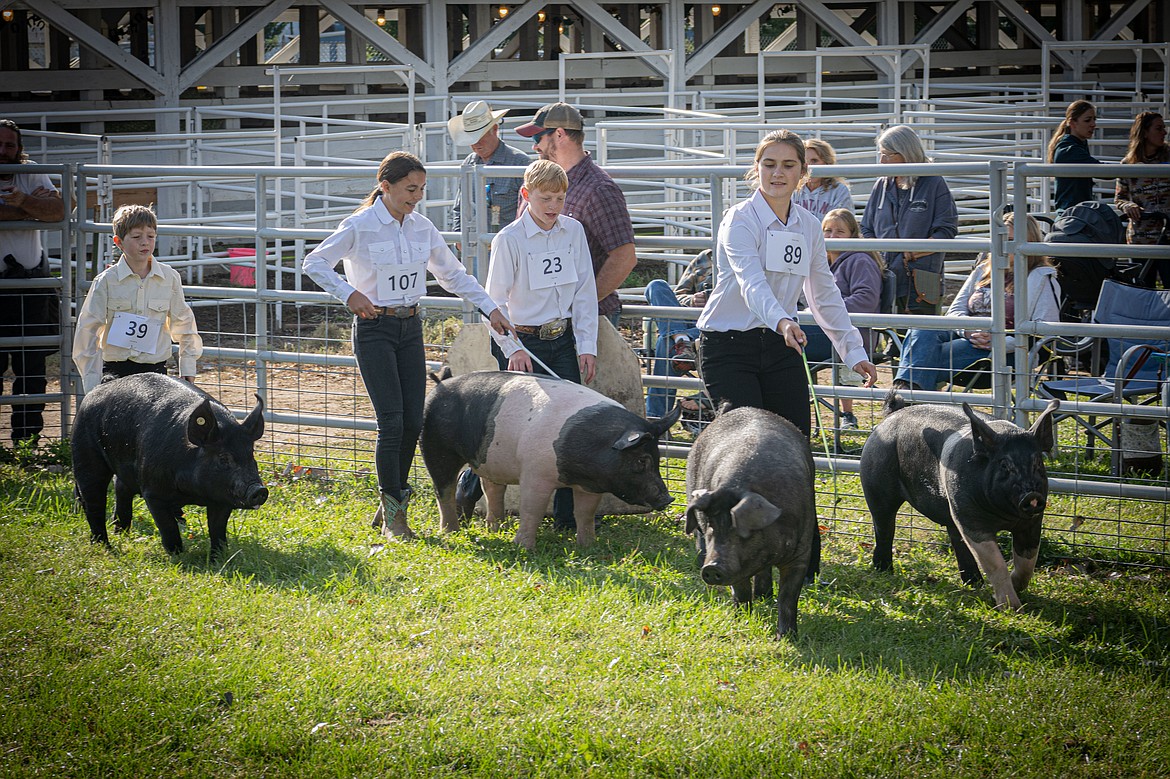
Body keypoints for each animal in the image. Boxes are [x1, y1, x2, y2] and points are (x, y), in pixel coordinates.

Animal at [73, 374, 271, 554]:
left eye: (251, 454)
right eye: (223, 458)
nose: (260, 490)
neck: (193, 494)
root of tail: (99, 387)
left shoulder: (222, 496)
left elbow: (217, 529)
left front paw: (218, 557)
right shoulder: (153, 492)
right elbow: (168, 526)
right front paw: (177, 555)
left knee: (120, 488)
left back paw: (121, 533)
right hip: (85, 451)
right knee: (93, 500)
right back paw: (104, 547)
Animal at [421, 369, 683, 545]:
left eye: (658, 458)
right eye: (641, 461)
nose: (668, 498)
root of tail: (441, 382)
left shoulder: (590, 487)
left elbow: (585, 514)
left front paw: (588, 546)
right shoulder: (534, 474)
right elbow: (532, 510)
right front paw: (523, 547)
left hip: (491, 460)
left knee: (492, 489)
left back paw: (496, 529)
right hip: (435, 446)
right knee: (443, 490)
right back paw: (451, 532)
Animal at [683, 407, 819, 636]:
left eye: (740, 530)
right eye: (711, 526)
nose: (711, 567)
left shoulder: (801, 552)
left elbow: (788, 598)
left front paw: (787, 637)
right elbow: (741, 591)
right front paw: (742, 621)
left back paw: (764, 596)